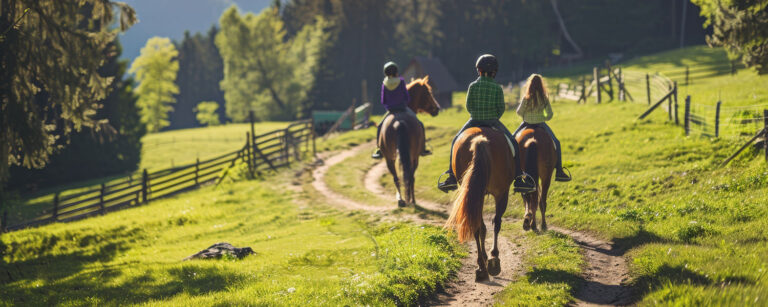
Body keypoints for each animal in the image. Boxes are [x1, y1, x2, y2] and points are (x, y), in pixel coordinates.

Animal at [380, 76, 440, 207]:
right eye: (429, 92)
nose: (437, 108)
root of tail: (399, 122)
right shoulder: (415, 157)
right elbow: (412, 177)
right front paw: (413, 199)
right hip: (413, 156)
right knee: (410, 177)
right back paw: (411, 200)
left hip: (389, 157)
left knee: (396, 177)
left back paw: (401, 200)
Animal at [444, 126, 516, 282]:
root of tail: (479, 139)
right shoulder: (501, 193)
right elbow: (495, 223)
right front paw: (492, 258)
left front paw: (484, 259)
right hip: (501, 193)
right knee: (496, 222)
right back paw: (492, 261)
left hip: (476, 194)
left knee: (477, 226)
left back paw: (482, 267)